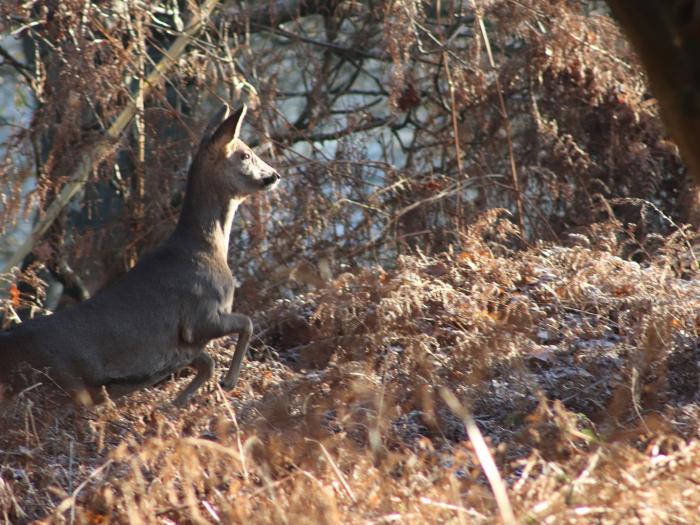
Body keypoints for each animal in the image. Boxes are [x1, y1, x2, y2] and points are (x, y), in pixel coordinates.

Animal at [0, 102, 278, 406]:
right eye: (244, 154)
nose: (274, 175)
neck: (208, 249)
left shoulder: (182, 345)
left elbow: (206, 362)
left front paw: (176, 404)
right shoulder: (199, 316)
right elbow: (246, 323)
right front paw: (229, 381)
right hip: (58, 382)